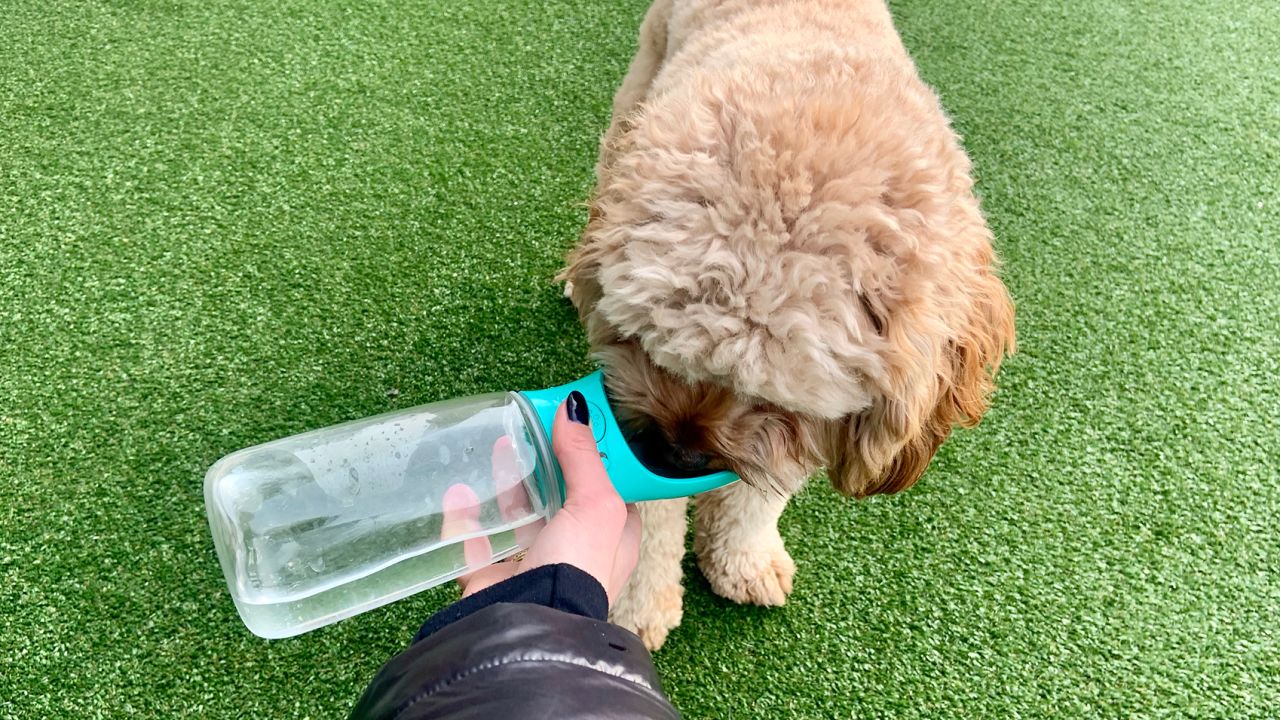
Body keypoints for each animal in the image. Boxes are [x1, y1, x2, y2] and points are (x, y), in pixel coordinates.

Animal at [565, 0, 1013, 650]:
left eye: (770, 395)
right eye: (654, 352)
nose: (677, 457)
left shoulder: (815, 422)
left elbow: (758, 496)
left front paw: (742, 561)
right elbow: (647, 516)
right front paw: (634, 608)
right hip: (639, 85)